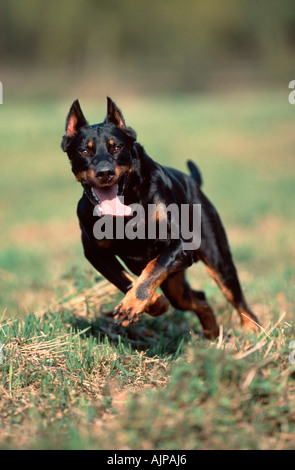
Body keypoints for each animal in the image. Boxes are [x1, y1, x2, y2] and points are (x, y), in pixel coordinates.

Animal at [61, 97, 260, 338]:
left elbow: (154, 267)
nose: (105, 172)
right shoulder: (96, 253)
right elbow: (125, 279)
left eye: (117, 147)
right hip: (176, 287)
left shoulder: (179, 246)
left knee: (237, 298)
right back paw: (212, 335)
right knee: (197, 298)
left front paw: (131, 305)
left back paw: (252, 332)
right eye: (84, 151)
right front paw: (153, 304)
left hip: (218, 259)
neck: (128, 204)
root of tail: (193, 183)